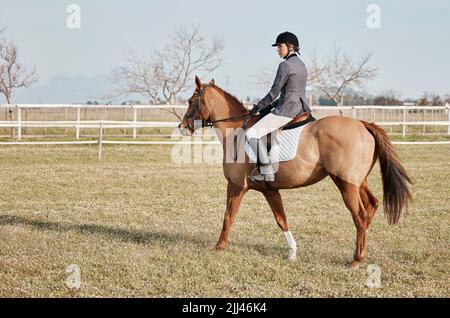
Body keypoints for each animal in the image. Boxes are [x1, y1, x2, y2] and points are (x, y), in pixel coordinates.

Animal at [177, 76, 412, 268]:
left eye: (191, 101)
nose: (182, 127)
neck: (237, 132)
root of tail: (363, 125)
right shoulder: (269, 190)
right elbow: (281, 219)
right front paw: (292, 253)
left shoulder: (236, 186)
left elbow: (228, 217)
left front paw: (219, 246)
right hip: (357, 181)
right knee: (371, 206)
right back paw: (360, 251)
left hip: (345, 184)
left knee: (360, 215)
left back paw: (356, 259)